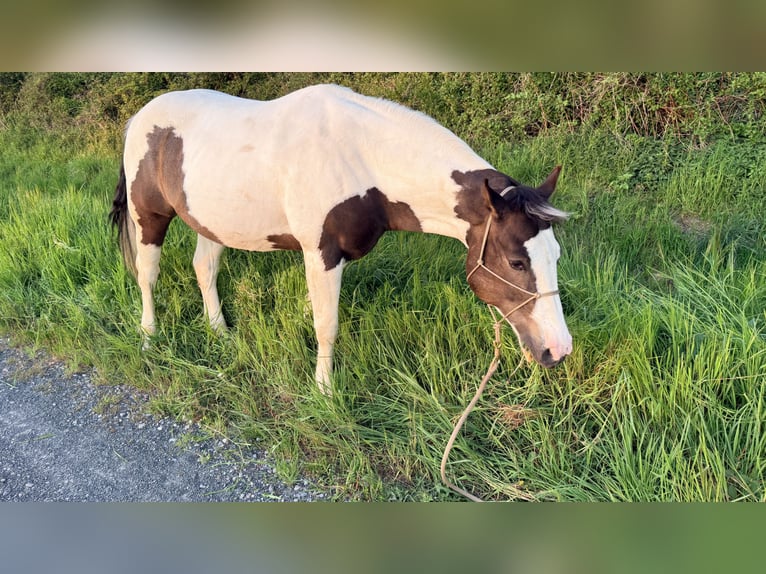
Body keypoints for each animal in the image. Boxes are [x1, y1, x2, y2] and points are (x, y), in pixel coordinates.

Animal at [109, 84, 572, 395]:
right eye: (516, 262)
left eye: (555, 257)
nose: (558, 349)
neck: (361, 158)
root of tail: (140, 117)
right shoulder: (322, 254)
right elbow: (326, 324)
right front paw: (325, 391)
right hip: (149, 217)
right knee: (148, 276)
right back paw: (149, 338)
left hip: (212, 223)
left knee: (204, 268)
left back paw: (219, 331)